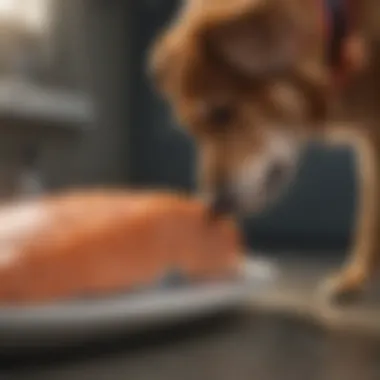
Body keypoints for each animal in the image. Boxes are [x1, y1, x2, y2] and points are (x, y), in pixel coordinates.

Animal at [148, 0, 380, 302]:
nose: (213, 207)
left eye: (222, 113)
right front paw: (355, 278)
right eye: (192, 129)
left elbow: (369, 216)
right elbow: (371, 216)